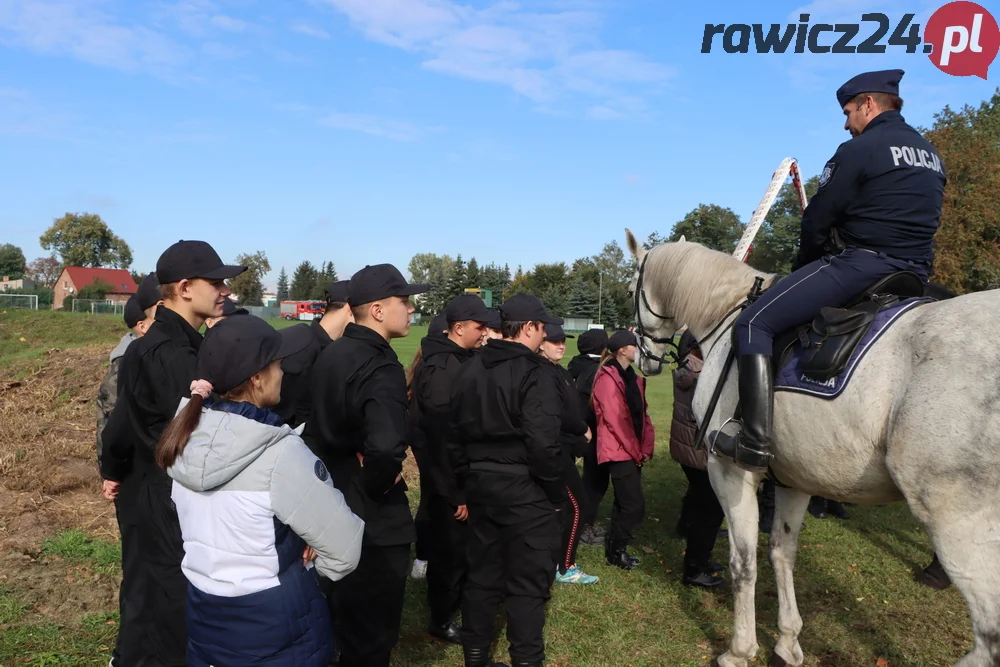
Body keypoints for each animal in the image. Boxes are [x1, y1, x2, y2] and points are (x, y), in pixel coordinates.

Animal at [624, 230, 1000, 667]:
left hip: (960, 526)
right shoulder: (795, 479)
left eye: (630, 290)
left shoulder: (729, 470)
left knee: (989, 641)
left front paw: (740, 649)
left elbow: (744, 562)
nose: (644, 360)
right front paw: (786, 643)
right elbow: (782, 553)